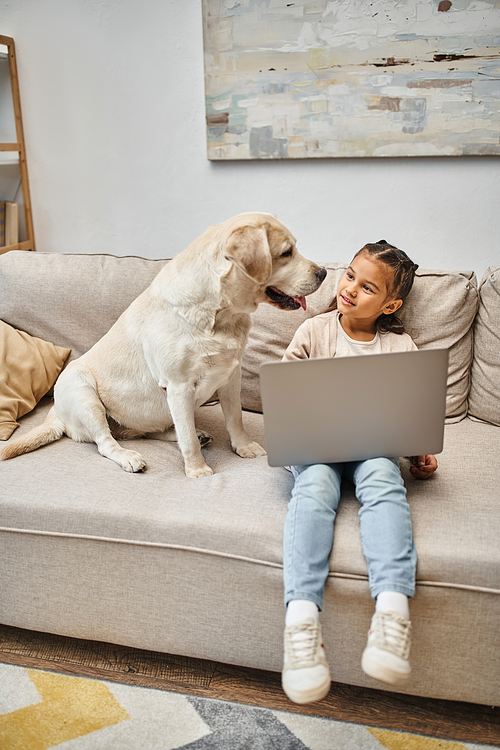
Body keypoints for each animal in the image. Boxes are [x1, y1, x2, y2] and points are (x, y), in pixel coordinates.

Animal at [0, 214, 326, 478]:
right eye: (286, 253)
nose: (323, 272)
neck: (219, 315)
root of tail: (54, 413)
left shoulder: (230, 376)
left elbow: (235, 420)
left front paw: (244, 447)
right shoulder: (179, 386)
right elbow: (188, 440)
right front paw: (197, 470)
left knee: (158, 430)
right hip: (81, 389)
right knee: (108, 442)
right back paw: (130, 456)